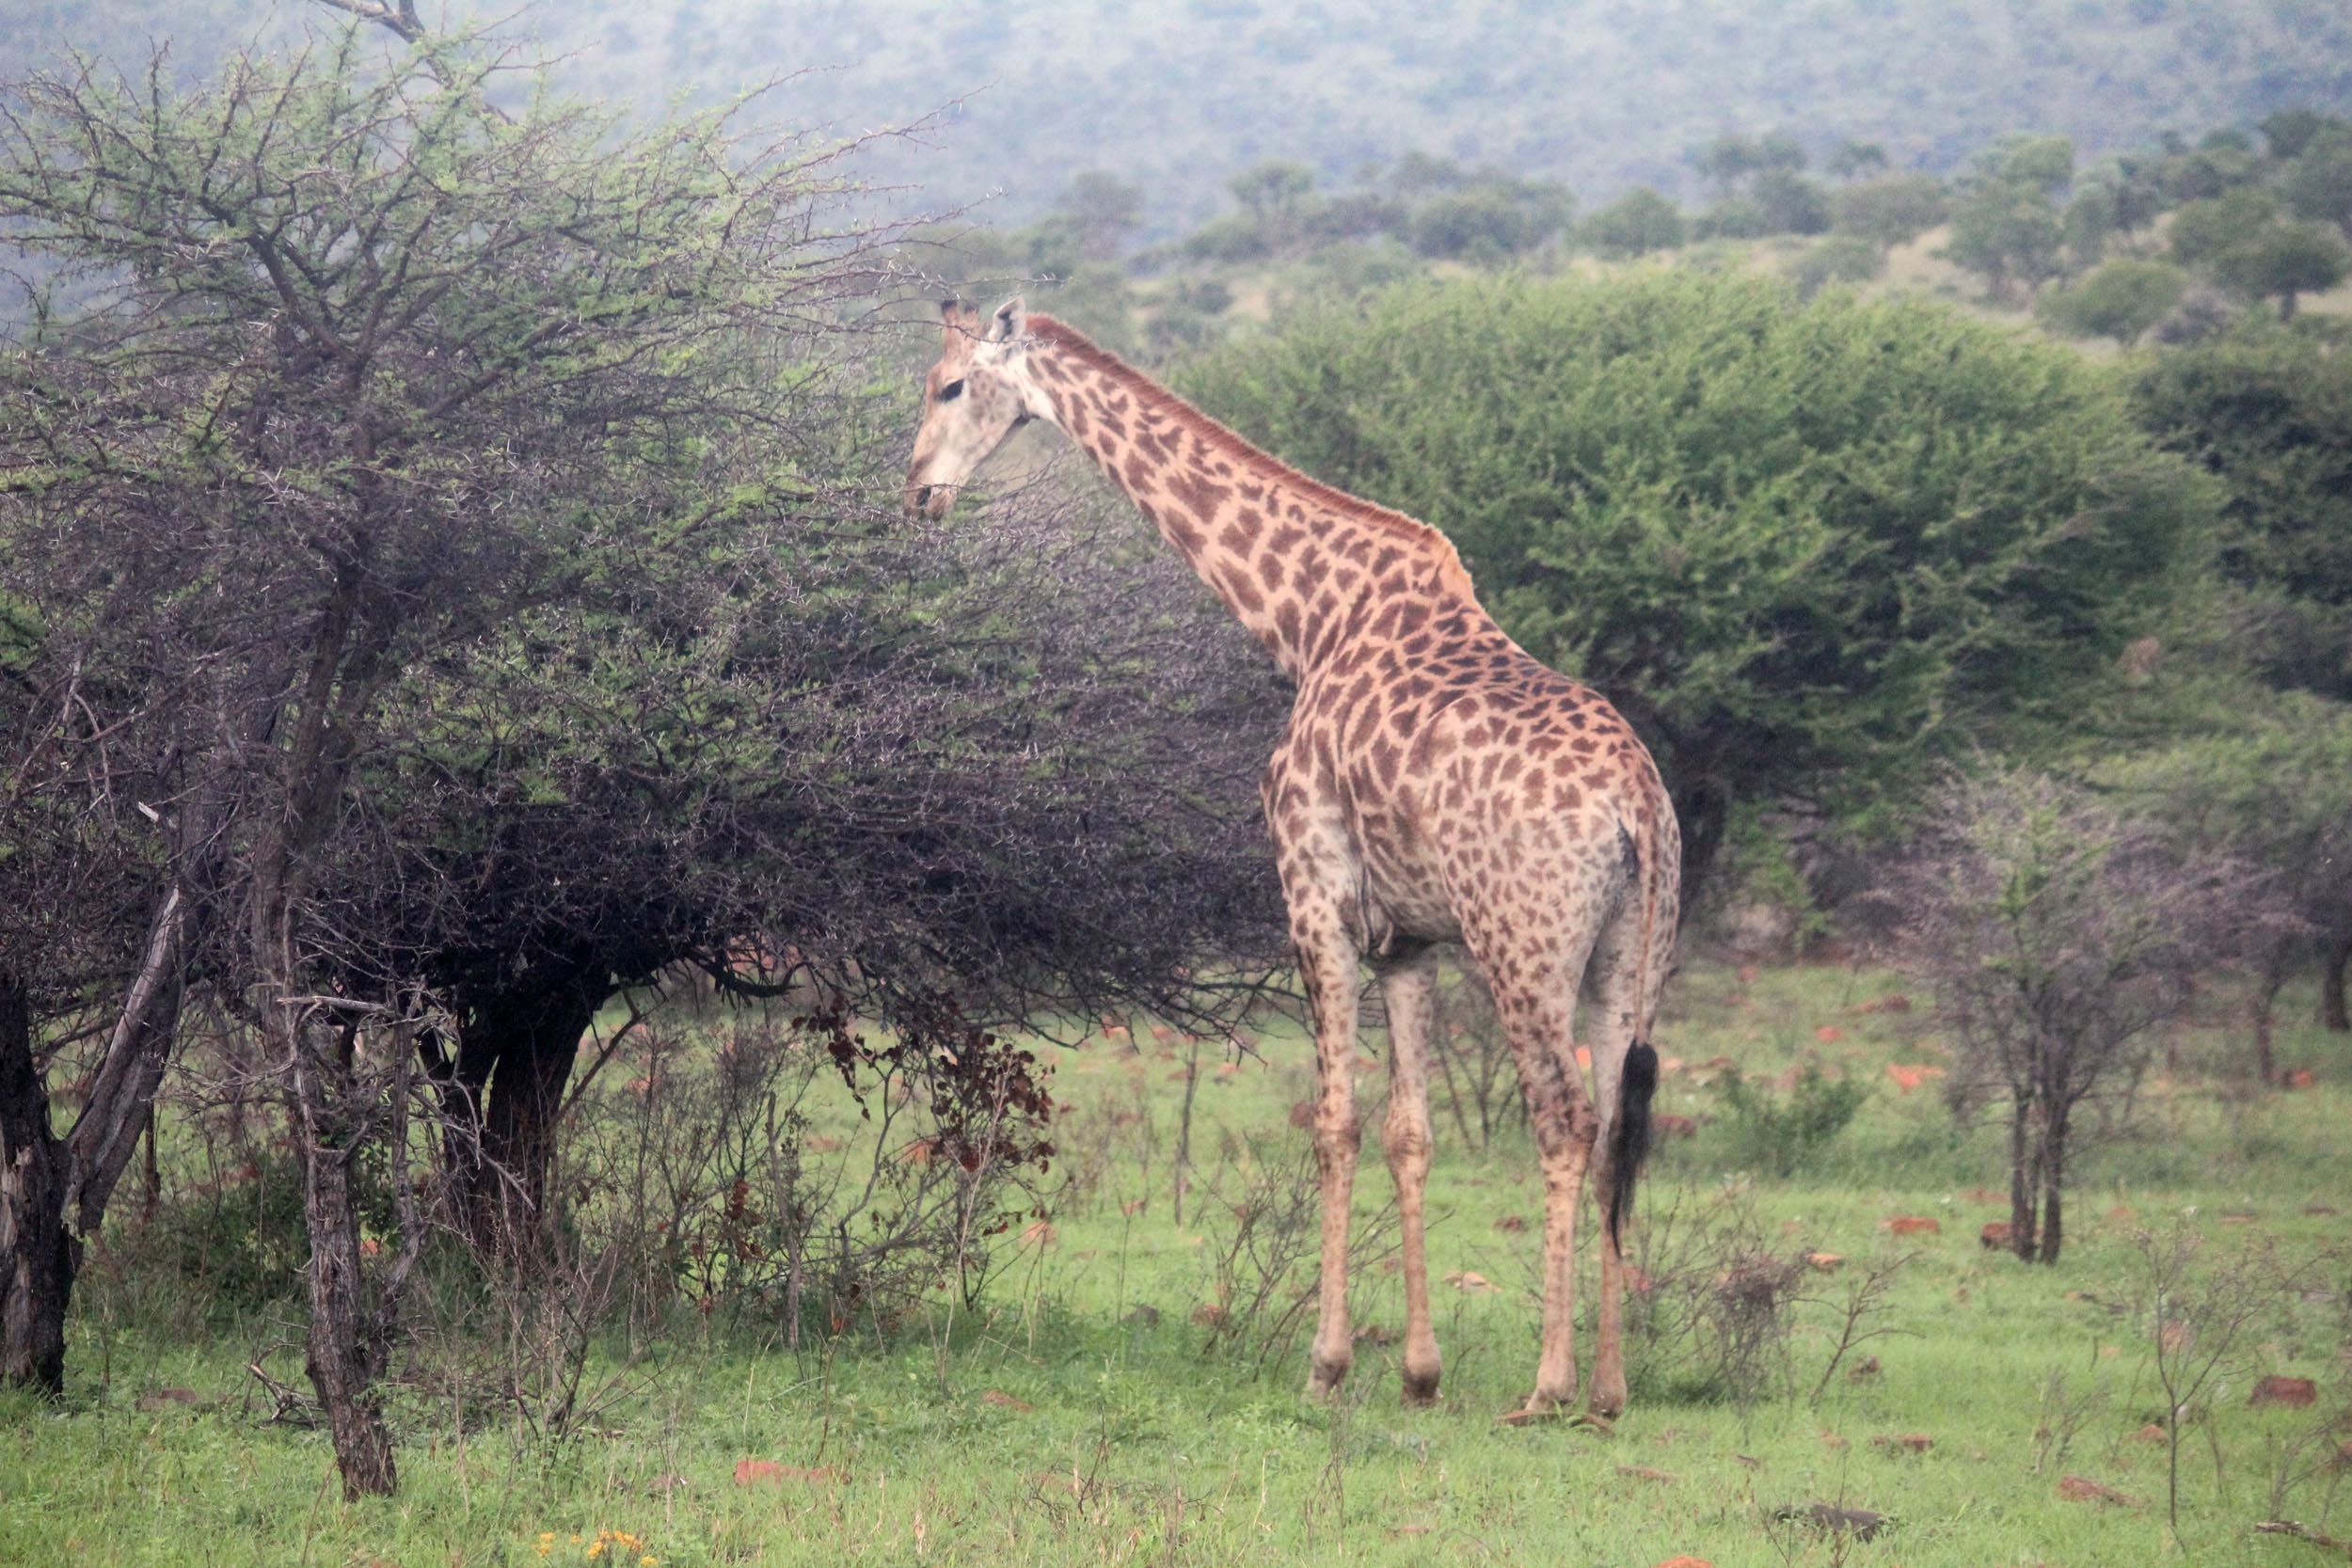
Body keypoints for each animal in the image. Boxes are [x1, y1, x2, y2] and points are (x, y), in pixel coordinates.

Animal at [898, 297, 1675, 1419]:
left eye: (950, 384)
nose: (918, 490)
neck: (1307, 618)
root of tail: (1636, 805)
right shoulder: (1406, 938)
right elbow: (1408, 1130)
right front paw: (1419, 1371)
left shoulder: (1312, 895)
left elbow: (1333, 1122)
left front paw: (1327, 1361)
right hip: (1630, 954)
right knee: (1618, 1119)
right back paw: (1611, 1387)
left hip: (1521, 944)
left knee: (1564, 1117)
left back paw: (1547, 1384)